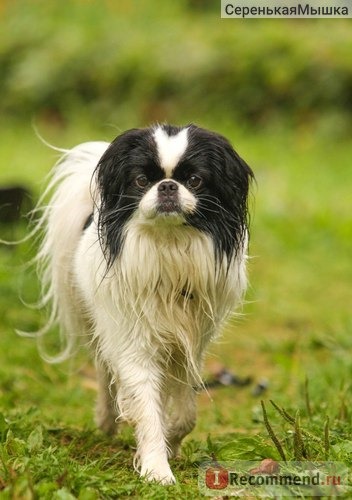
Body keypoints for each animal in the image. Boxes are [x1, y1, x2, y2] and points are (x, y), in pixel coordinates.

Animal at [35, 124, 253, 484]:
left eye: (195, 180)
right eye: (140, 180)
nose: (167, 186)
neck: (168, 247)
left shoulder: (189, 346)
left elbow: (185, 410)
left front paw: (172, 442)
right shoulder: (132, 343)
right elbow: (148, 409)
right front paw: (157, 471)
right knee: (105, 373)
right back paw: (106, 420)